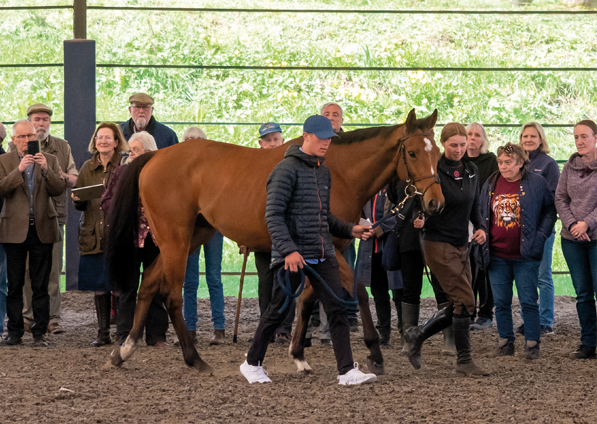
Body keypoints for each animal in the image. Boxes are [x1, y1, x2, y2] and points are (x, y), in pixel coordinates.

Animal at [106, 108, 442, 374]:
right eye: (413, 153)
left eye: (437, 152)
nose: (435, 203)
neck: (336, 170)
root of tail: (155, 156)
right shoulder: (330, 248)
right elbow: (357, 290)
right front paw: (374, 353)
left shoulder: (319, 250)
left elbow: (307, 299)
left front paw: (298, 355)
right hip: (176, 238)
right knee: (171, 295)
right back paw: (194, 359)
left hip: (189, 237)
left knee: (149, 283)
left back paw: (124, 350)